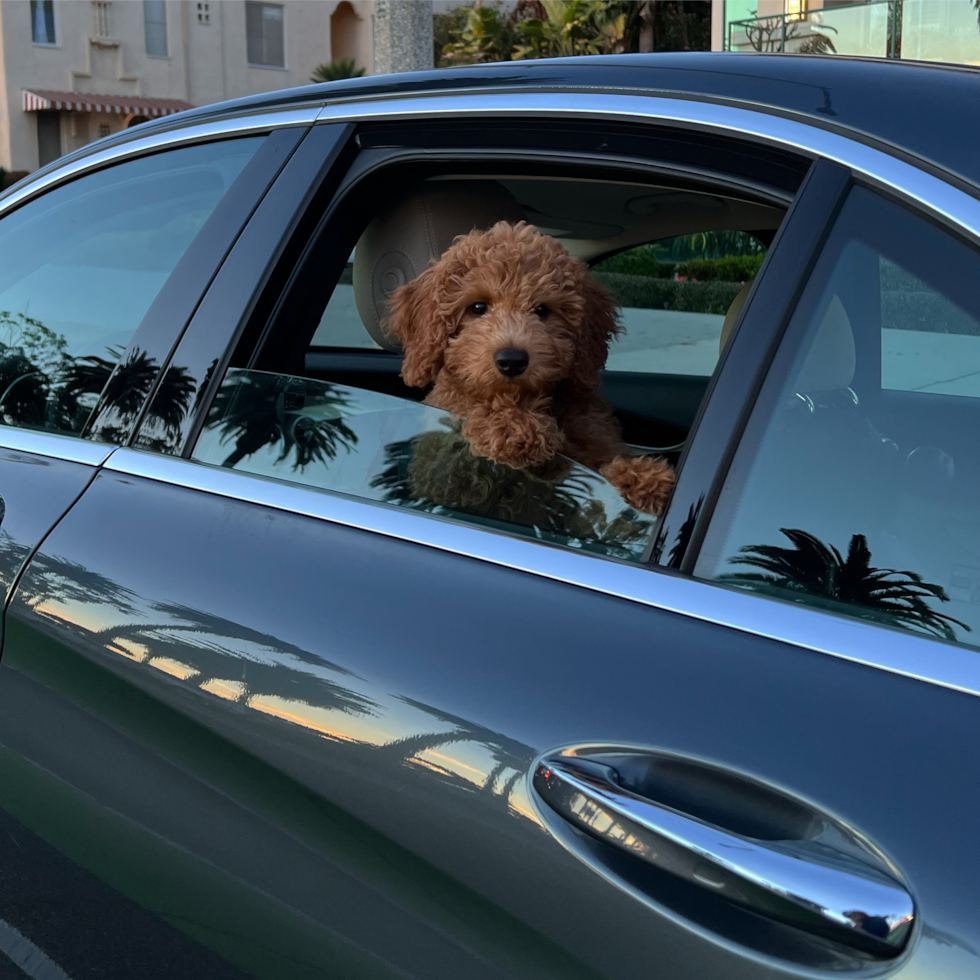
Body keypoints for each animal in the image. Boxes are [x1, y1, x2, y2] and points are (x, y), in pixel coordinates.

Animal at [386, 220, 676, 512]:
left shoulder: (594, 436)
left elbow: (600, 460)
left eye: (541, 310)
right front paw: (512, 427)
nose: (512, 360)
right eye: (477, 307)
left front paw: (643, 477)